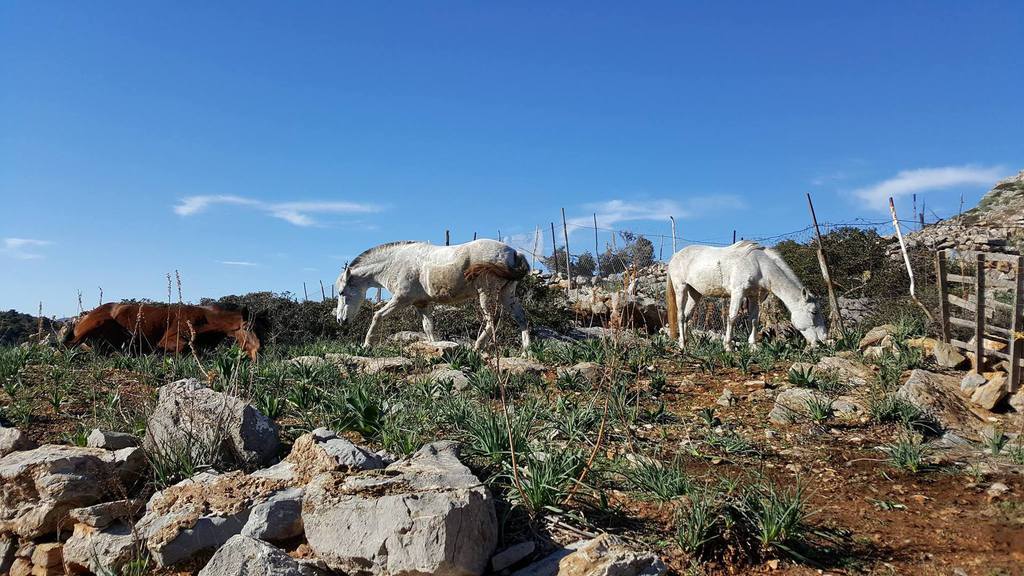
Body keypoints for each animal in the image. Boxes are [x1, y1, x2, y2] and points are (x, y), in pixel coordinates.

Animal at [64, 302, 263, 360]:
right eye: (247, 327)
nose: (258, 352)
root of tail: (81, 319)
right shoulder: (170, 340)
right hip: (98, 322)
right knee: (69, 344)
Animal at [335, 239, 532, 352]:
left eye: (341, 292)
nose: (340, 320)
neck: (395, 263)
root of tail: (514, 253)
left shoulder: (401, 299)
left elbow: (377, 316)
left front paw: (367, 344)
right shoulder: (421, 304)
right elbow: (428, 329)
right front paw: (436, 347)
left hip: (487, 292)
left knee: (492, 320)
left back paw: (477, 347)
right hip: (507, 294)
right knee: (521, 318)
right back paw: (526, 350)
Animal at [666, 241, 828, 351]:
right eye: (813, 312)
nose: (823, 339)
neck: (759, 265)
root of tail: (675, 256)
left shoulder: (753, 296)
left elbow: (754, 320)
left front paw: (753, 346)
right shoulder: (738, 293)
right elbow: (732, 317)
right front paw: (728, 346)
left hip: (695, 293)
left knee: (687, 317)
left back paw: (687, 343)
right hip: (681, 288)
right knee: (681, 316)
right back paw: (682, 345)